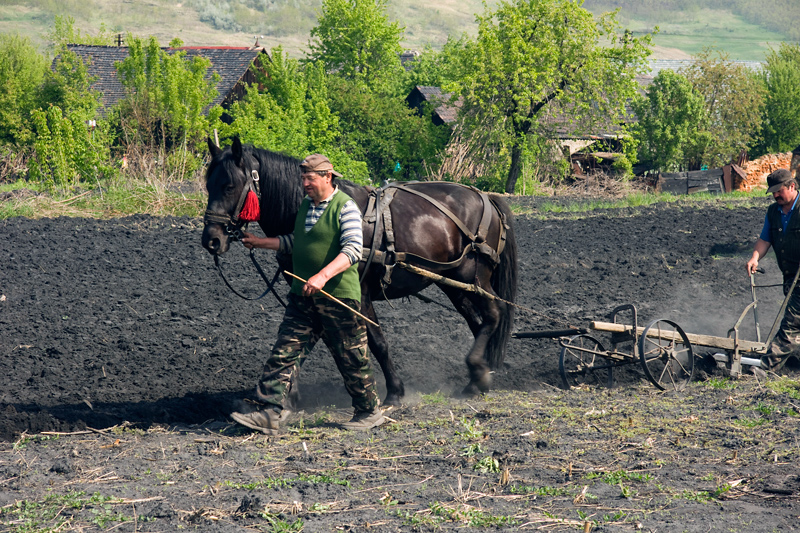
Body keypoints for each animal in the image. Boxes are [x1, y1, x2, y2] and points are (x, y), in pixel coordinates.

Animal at [202, 137, 520, 404]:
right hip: (451, 282)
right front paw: (288, 393)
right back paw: (480, 375)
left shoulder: (360, 292)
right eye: (208, 185)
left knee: (494, 315)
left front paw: (395, 391)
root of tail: (485, 197)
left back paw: (477, 374)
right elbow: (308, 339)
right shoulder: (315, 290)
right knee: (478, 322)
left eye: (229, 186)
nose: (211, 240)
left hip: (473, 276)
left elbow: (377, 342)